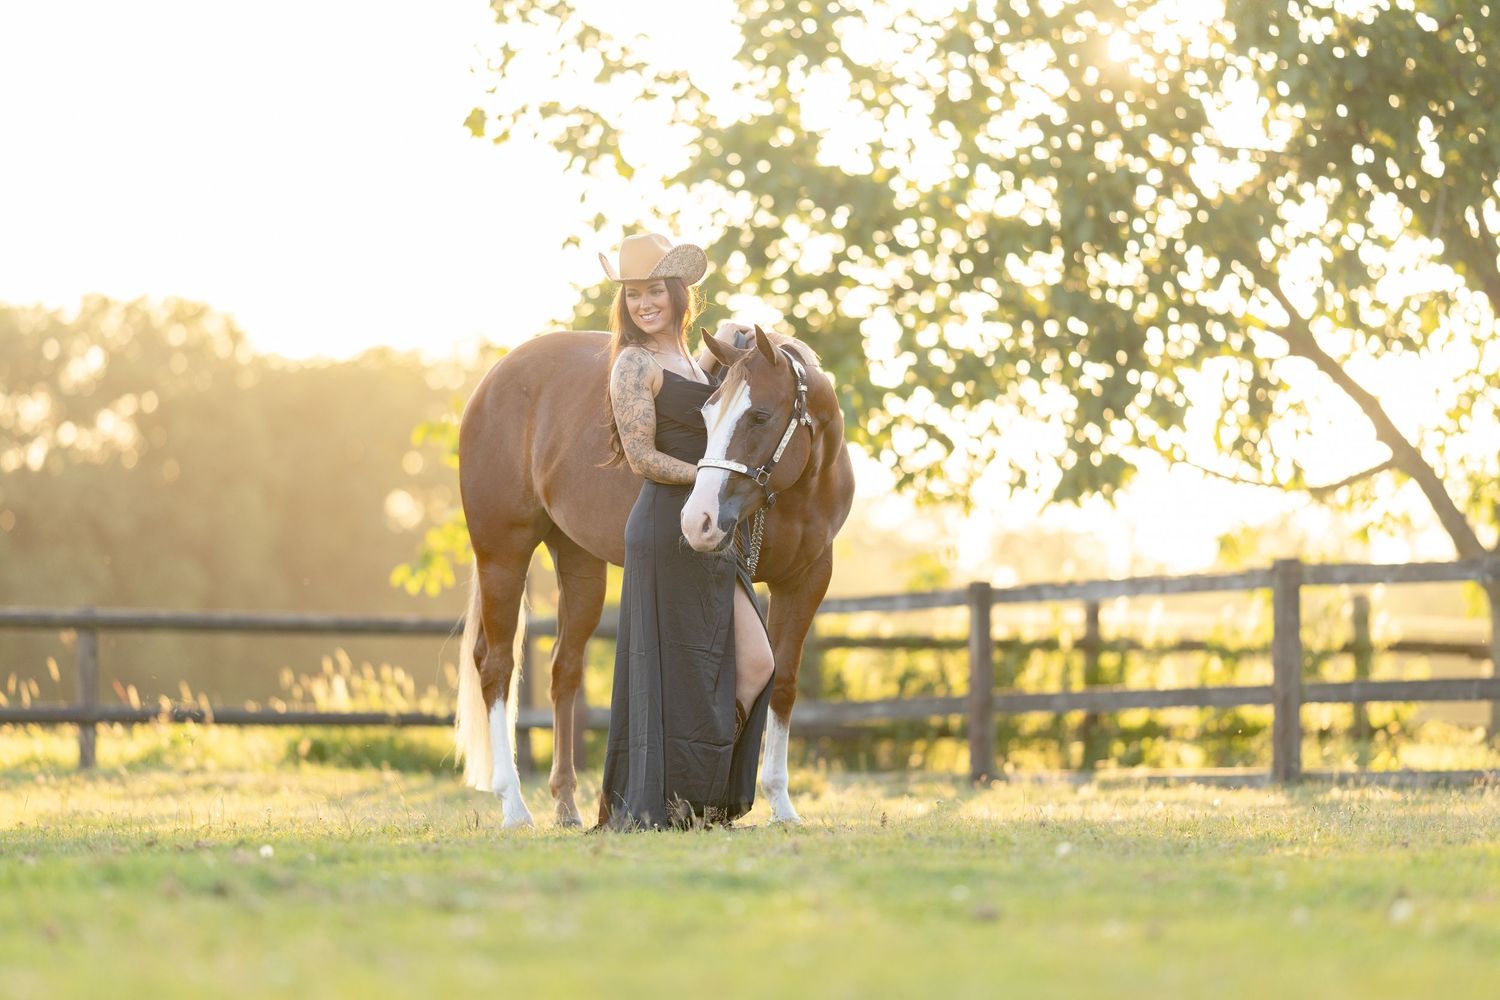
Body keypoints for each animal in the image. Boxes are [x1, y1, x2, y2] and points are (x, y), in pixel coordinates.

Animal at [453, 324, 855, 827]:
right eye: (706, 414)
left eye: (760, 416)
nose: (699, 520)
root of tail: (491, 384)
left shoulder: (808, 580)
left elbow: (781, 682)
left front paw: (780, 805)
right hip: (503, 555)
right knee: (497, 665)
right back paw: (513, 805)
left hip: (579, 563)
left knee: (564, 668)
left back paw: (566, 806)